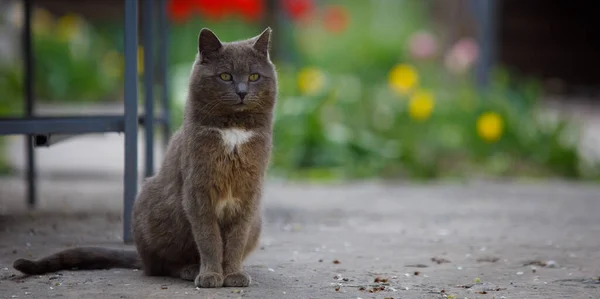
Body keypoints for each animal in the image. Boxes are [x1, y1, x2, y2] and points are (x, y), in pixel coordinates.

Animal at [13, 27, 276, 290]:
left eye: (254, 76)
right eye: (225, 76)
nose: (242, 92)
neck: (234, 132)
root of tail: (139, 256)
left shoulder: (249, 194)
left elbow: (235, 240)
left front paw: (233, 274)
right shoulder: (198, 191)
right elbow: (209, 238)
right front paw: (211, 275)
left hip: (257, 221)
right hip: (155, 209)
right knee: (159, 266)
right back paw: (190, 269)